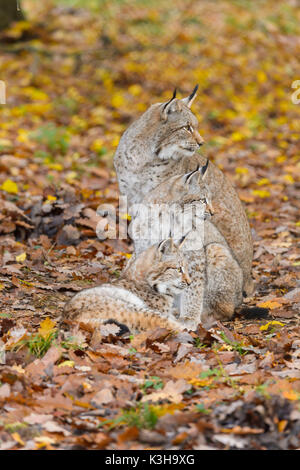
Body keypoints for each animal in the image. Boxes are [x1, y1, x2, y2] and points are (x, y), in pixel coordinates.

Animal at [130, 163, 243, 328]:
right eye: (202, 200)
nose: (213, 213)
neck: (166, 218)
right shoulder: (144, 251)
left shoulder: (193, 256)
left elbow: (193, 288)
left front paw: (190, 318)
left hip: (216, 249)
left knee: (227, 310)